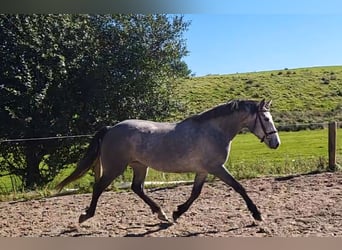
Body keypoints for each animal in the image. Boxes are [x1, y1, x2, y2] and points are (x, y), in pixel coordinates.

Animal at [56, 98, 280, 224]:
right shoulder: (216, 168)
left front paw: (176, 213)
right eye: (266, 119)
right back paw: (86, 215)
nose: (276, 143)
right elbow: (239, 187)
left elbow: (195, 193)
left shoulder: (203, 170)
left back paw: (161, 213)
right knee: (98, 187)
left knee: (137, 188)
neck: (214, 130)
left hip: (139, 166)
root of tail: (111, 128)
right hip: (115, 167)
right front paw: (257, 215)